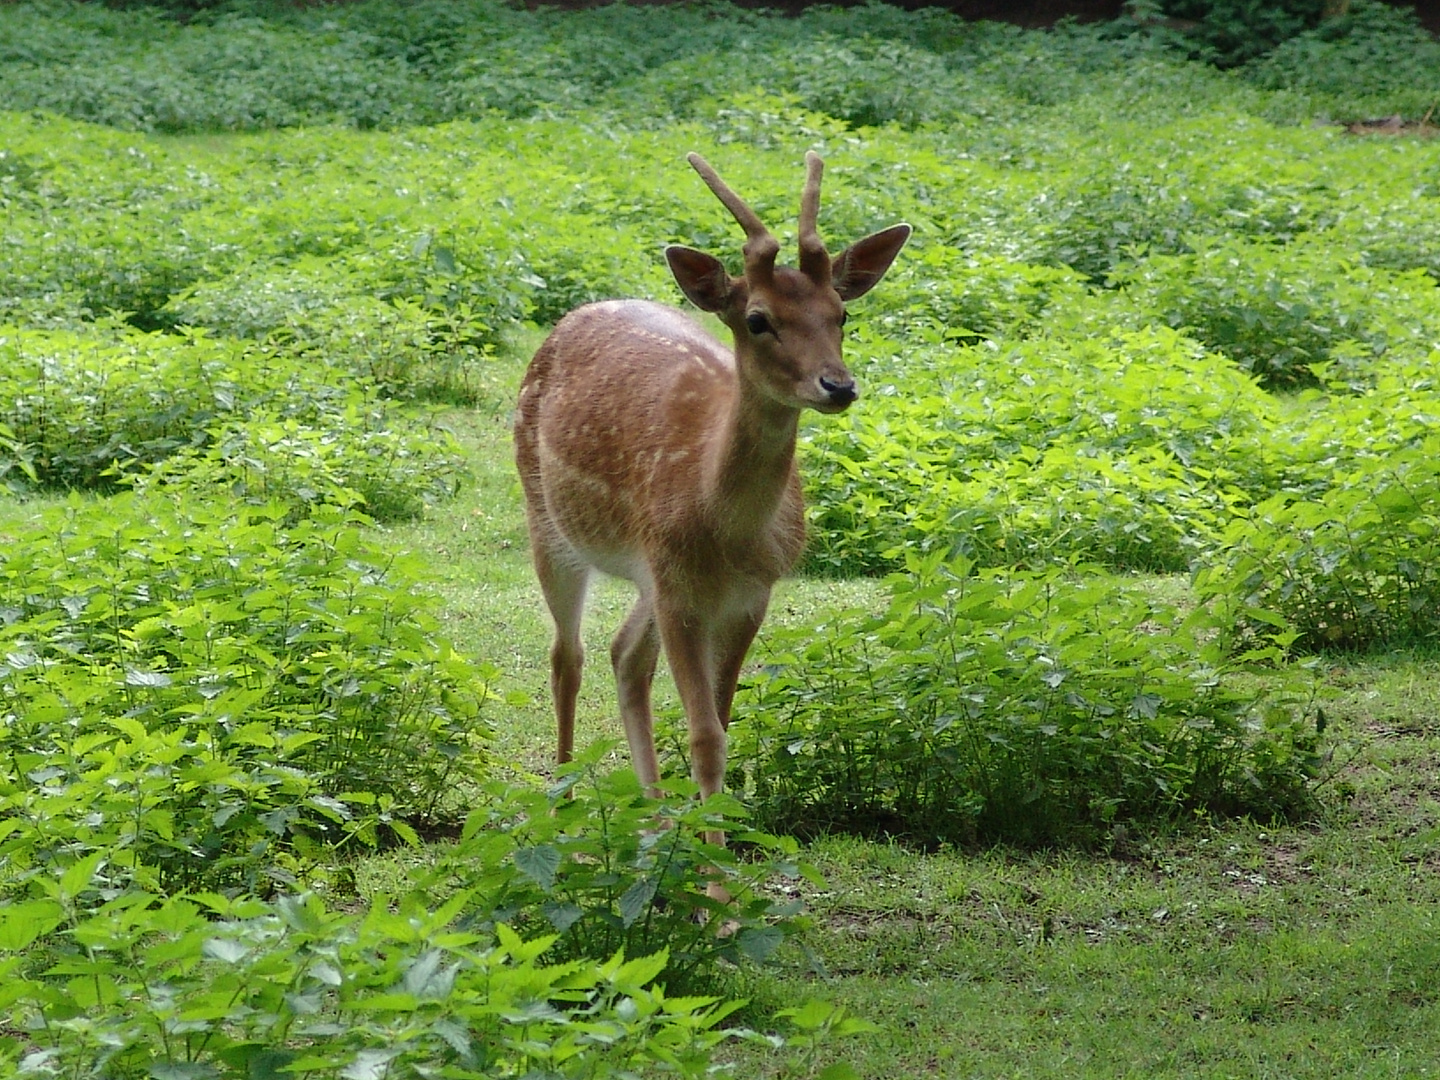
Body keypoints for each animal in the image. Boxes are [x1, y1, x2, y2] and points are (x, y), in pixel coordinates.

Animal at [512, 152, 904, 881]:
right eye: (757, 319)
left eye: (842, 314)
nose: (839, 385)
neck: (723, 526)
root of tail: (572, 316)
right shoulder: (679, 589)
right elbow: (703, 736)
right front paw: (713, 890)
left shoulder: (748, 592)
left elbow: (721, 719)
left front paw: (700, 855)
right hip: (545, 518)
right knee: (567, 654)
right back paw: (565, 809)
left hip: (649, 575)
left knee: (623, 654)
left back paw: (653, 820)